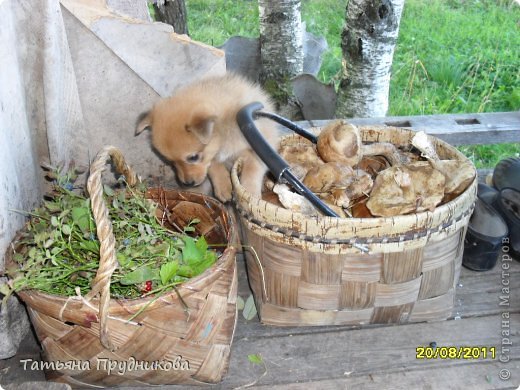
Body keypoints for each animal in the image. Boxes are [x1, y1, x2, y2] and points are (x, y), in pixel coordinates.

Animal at [136, 72, 278, 204]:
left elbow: (253, 168)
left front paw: (250, 193)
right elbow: (213, 165)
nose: (187, 183)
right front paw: (223, 185)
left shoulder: (260, 146)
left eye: (193, 157)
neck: (223, 137)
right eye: (170, 161)